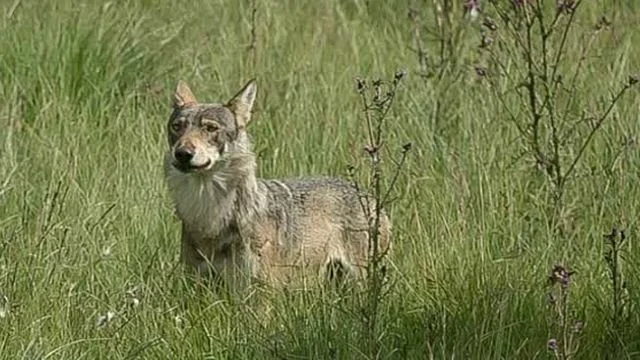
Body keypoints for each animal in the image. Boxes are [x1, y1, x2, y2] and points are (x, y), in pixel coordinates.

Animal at [162, 78, 392, 290]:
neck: (210, 216)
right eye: (177, 127)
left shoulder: (259, 291)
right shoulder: (197, 284)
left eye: (210, 128)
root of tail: (366, 194)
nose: (183, 153)